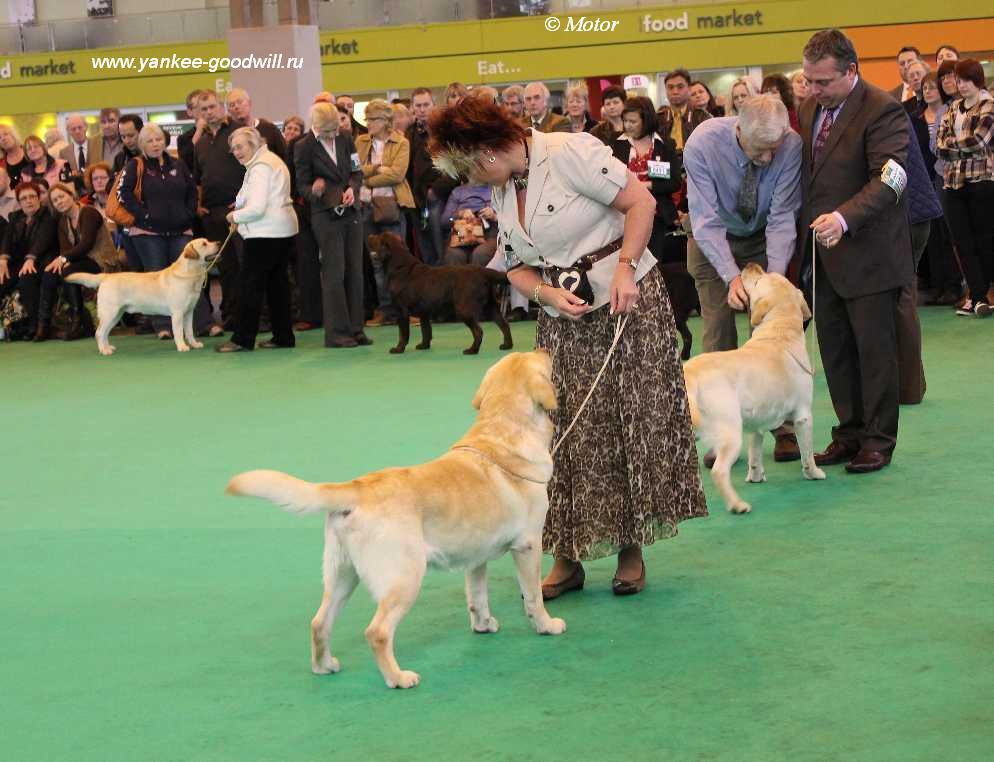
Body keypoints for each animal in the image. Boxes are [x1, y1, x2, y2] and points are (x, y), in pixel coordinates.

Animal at [67, 236, 220, 354]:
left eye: (208, 241)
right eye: (204, 244)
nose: (218, 243)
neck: (190, 274)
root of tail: (106, 276)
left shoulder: (188, 312)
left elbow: (189, 331)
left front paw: (194, 344)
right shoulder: (177, 313)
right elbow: (178, 332)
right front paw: (182, 346)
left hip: (116, 315)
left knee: (104, 333)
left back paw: (108, 347)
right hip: (109, 312)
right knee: (99, 332)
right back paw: (104, 351)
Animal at [227, 350, 564, 688]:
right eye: (538, 359)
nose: (545, 351)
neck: (502, 430)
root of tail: (355, 488)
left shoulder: (475, 556)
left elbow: (477, 595)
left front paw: (483, 624)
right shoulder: (528, 546)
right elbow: (533, 596)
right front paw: (546, 625)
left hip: (342, 574)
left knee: (319, 622)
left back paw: (325, 666)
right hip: (405, 576)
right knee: (377, 632)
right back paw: (399, 677)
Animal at [680, 262, 820, 510]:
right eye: (757, 281)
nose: (750, 265)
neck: (779, 332)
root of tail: (692, 372)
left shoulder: (757, 421)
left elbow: (755, 451)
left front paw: (755, 476)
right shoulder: (804, 416)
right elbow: (807, 452)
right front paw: (814, 473)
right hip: (731, 431)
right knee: (719, 471)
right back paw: (737, 505)